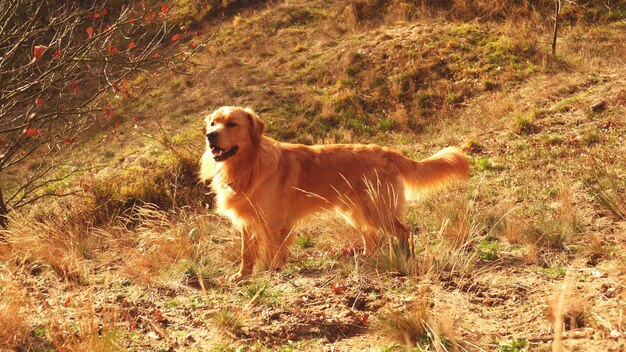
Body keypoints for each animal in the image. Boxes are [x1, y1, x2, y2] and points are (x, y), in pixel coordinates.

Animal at [200, 106, 468, 280]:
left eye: (232, 124)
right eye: (213, 123)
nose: (210, 136)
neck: (248, 166)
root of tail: (389, 152)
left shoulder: (274, 222)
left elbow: (275, 251)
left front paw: (273, 272)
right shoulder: (246, 221)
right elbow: (246, 253)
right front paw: (242, 275)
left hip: (377, 209)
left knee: (404, 231)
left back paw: (403, 258)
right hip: (358, 211)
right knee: (371, 237)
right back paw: (368, 261)